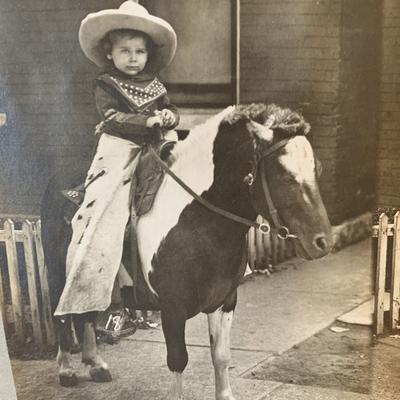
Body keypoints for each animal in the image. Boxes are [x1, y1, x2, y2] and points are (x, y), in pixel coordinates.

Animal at [40, 103, 332, 400]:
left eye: (317, 169)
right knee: (62, 316)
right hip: (58, 273)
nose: (323, 241)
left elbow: (221, 356)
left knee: (86, 314)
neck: (198, 224)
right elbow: (178, 360)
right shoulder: (173, 308)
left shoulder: (225, 301)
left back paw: (96, 364)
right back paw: (66, 370)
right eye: (284, 175)